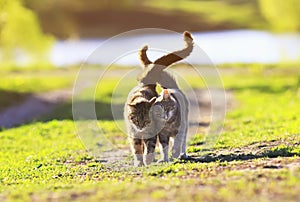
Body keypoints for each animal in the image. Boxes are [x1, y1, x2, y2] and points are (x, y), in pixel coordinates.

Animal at [125, 30, 193, 166]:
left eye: (147, 121)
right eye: (136, 120)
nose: (141, 127)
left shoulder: (156, 133)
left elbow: (156, 147)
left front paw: (148, 159)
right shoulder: (135, 134)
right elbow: (137, 149)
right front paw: (140, 163)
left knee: (182, 143)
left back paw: (181, 155)